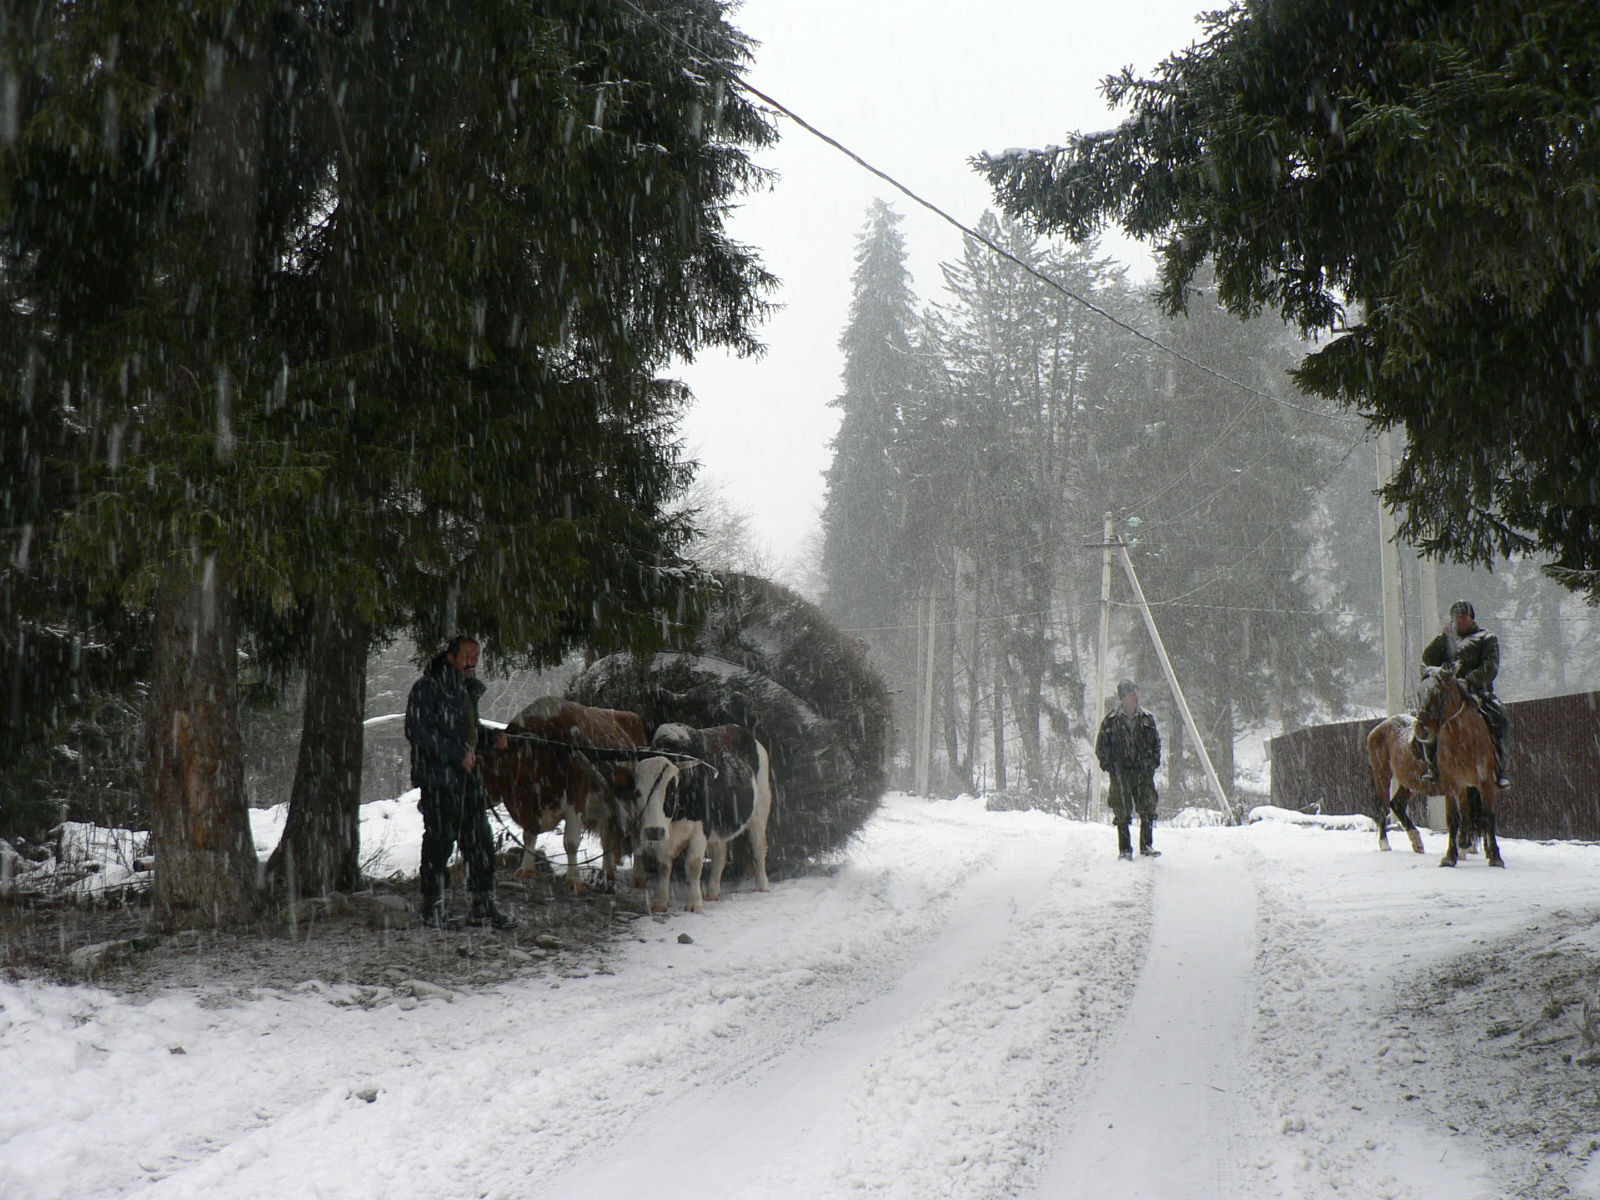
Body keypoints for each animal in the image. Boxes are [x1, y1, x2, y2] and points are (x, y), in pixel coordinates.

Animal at [479, 697, 647, 893]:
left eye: (487, 762)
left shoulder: (576, 802)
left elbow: (571, 843)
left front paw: (573, 880)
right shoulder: (528, 808)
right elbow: (529, 836)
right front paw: (526, 869)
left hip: (633, 801)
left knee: (636, 836)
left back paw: (638, 877)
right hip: (604, 805)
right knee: (606, 836)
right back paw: (607, 873)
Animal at [616, 723, 773, 913]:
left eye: (671, 790)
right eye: (637, 792)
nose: (654, 832)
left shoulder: (701, 828)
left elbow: (694, 864)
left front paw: (694, 902)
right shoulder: (663, 834)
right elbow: (663, 865)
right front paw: (660, 901)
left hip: (760, 809)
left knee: (758, 847)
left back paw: (762, 885)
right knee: (720, 853)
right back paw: (712, 891)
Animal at [1364, 714, 1429, 853]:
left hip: (1410, 783)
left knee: (1397, 804)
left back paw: (1417, 843)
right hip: (1382, 775)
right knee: (1383, 808)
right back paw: (1385, 845)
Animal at [1414, 666, 1505, 868]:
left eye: (1438, 692)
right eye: (1418, 693)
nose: (1421, 730)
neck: (1462, 736)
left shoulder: (1486, 783)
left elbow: (1488, 816)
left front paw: (1496, 857)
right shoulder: (1451, 783)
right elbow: (1453, 818)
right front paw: (1450, 856)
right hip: (1464, 787)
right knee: (1465, 812)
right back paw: (1462, 845)